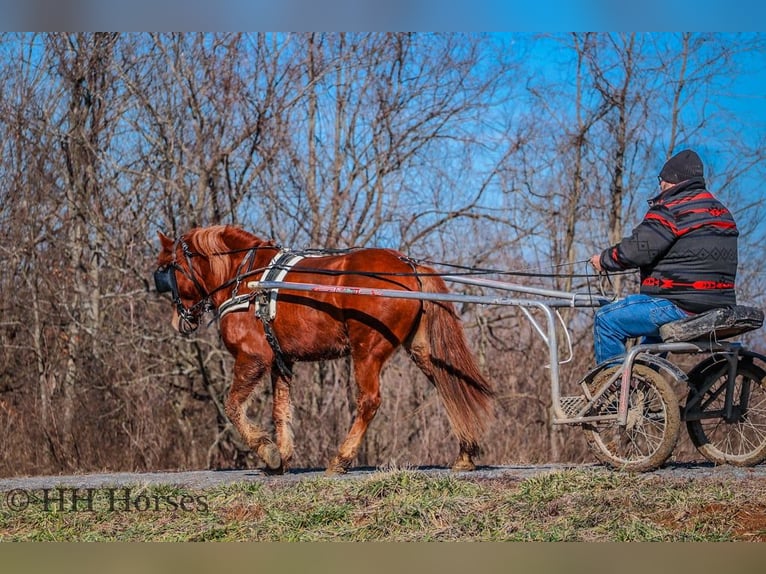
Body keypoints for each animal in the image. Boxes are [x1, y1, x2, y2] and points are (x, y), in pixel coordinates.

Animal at [154, 224, 494, 474]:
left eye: (165, 268)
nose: (177, 320)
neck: (247, 278)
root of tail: (408, 266)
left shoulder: (253, 357)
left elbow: (233, 406)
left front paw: (268, 452)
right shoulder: (281, 360)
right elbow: (280, 410)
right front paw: (283, 458)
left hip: (367, 350)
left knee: (369, 401)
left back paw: (341, 459)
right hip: (422, 350)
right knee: (451, 386)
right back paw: (465, 453)